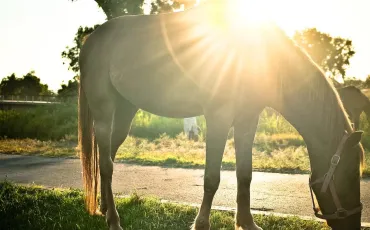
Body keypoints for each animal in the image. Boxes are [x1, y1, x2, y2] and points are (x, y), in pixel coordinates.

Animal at [78, 0, 364, 229]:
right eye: (351, 173)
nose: (353, 224)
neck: (261, 59)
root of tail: (93, 39)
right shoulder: (218, 118)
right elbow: (212, 178)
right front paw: (202, 224)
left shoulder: (248, 120)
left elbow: (245, 174)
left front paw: (247, 223)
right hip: (104, 110)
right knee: (106, 163)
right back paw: (114, 220)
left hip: (125, 111)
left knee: (108, 157)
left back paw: (104, 208)